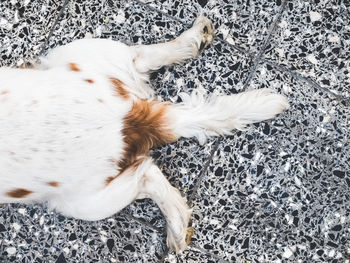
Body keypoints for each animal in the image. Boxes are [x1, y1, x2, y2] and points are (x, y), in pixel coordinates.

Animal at [0, 17, 288, 254]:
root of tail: (130, 120)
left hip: (83, 202)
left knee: (147, 175)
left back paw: (176, 227)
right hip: (92, 55)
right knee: (141, 58)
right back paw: (194, 38)